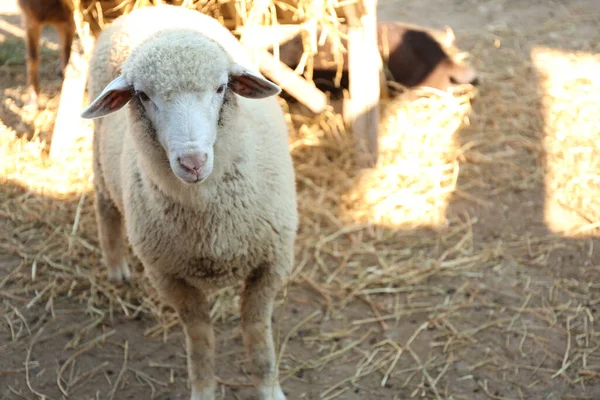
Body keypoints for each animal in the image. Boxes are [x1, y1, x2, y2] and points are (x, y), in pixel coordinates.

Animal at [80, 3, 300, 400]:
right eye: (143, 96)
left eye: (221, 87)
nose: (192, 161)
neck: (208, 220)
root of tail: (152, 10)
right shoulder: (168, 276)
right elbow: (200, 340)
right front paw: (203, 387)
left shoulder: (272, 263)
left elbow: (257, 334)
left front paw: (268, 388)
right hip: (100, 157)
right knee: (105, 205)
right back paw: (116, 265)